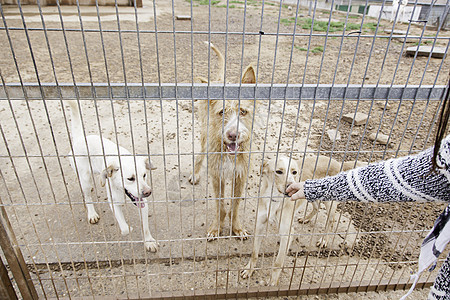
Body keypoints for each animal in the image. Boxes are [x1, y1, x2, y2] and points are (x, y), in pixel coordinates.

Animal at [66, 101, 159, 253]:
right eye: (130, 178)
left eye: (144, 175)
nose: (148, 192)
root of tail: (81, 138)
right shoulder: (114, 203)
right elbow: (125, 229)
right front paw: (128, 229)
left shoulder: (143, 205)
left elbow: (145, 228)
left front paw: (149, 242)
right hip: (84, 178)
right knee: (87, 196)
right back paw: (91, 213)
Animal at [189, 41, 256, 239]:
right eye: (221, 112)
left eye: (243, 111)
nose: (233, 135)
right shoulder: (217, 175)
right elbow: (220, 204)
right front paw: (216, 227)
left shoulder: (240, 176)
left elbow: (235, 204)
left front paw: (236, 227)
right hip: (204, 136)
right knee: (199, 156)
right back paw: (195, 173)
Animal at [241, 156, 364, 284]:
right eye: (279, 171)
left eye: (294, 172)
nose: (291, 186)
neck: (275, 198)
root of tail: (337, 162)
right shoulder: (259, 225)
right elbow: (254, 253)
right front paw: (249, 269)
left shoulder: (287, 233)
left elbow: (278, 263)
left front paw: (273, 282)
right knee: (316, 207)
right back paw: (306, 218)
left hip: (329, 201)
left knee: (331, 220)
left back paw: (324, 239)